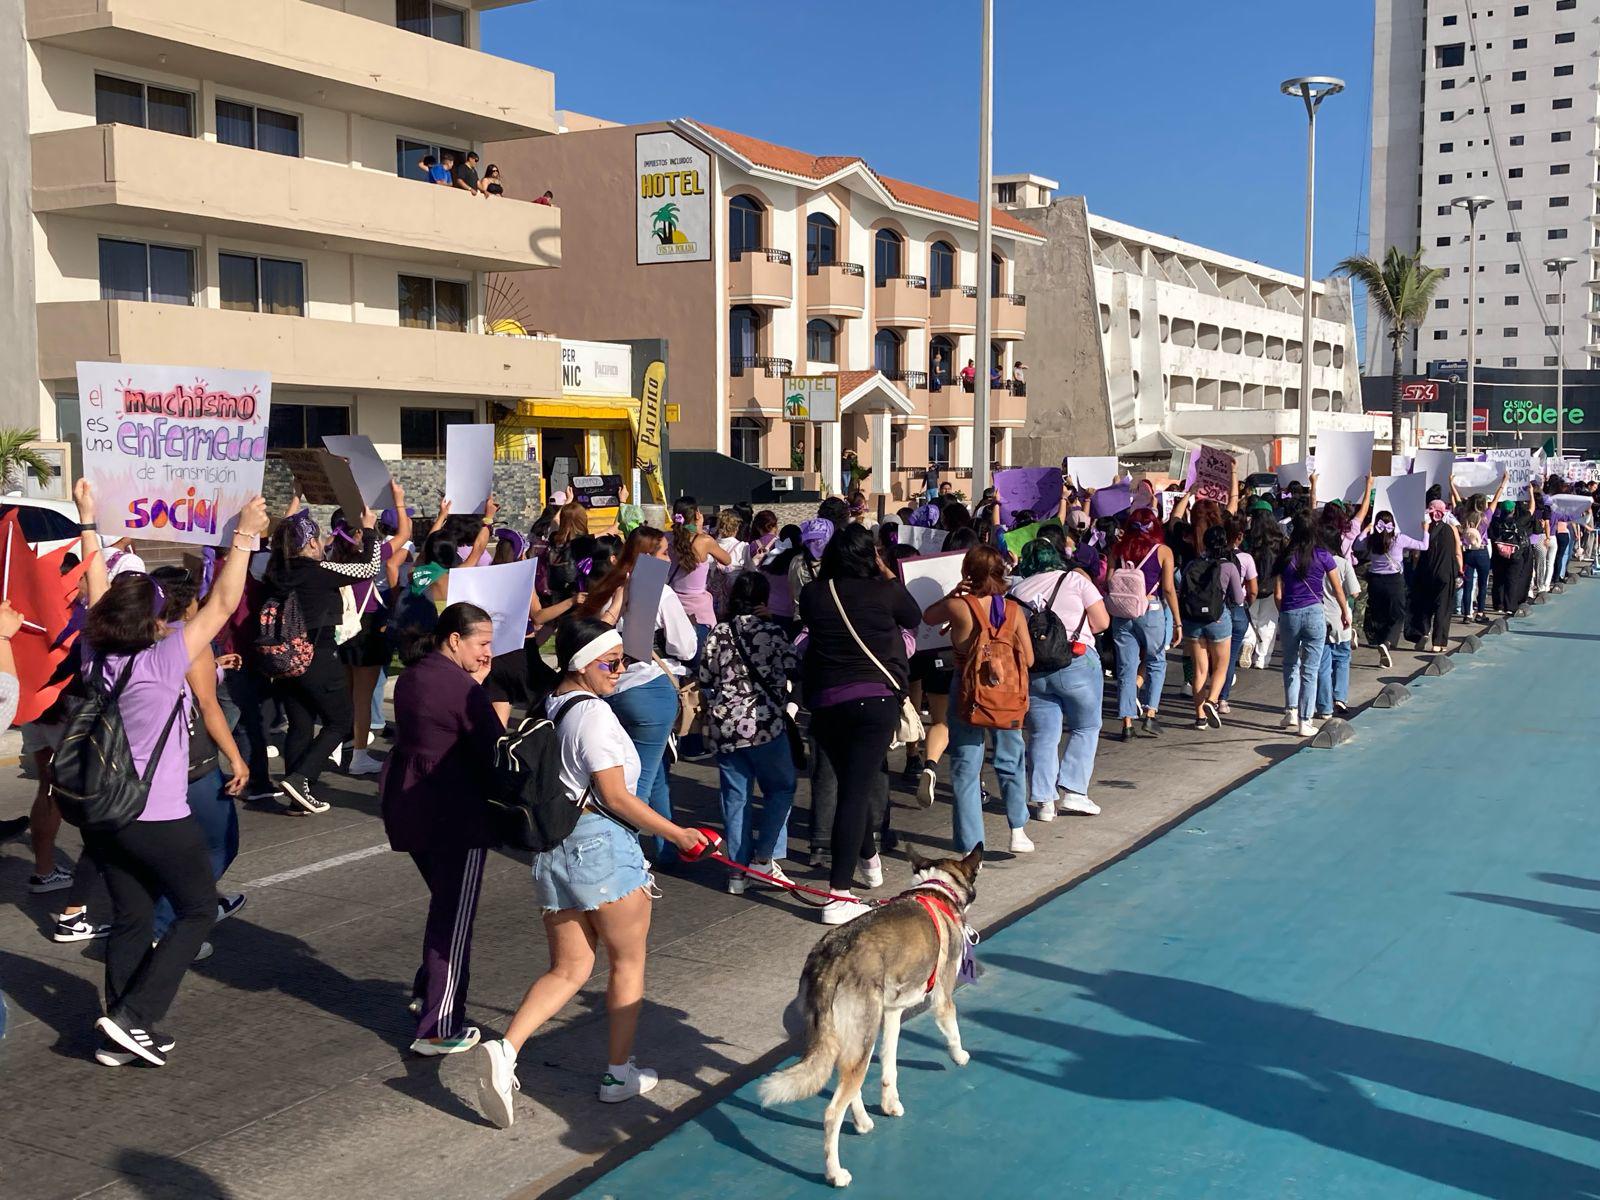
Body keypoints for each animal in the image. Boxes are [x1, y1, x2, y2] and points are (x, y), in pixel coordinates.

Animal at [755, 851, 979, 1190]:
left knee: (850, 1085)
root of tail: (832, 960)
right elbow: (951, 1028)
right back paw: (835, 1173)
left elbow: (889, 1065)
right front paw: (960, 1056)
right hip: (861, 1036)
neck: (936, 889)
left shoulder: (893, 1014)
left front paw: (890, 1104)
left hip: (854, 1038)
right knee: (832, 1112)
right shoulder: (942, 996)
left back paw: (861, 1122)